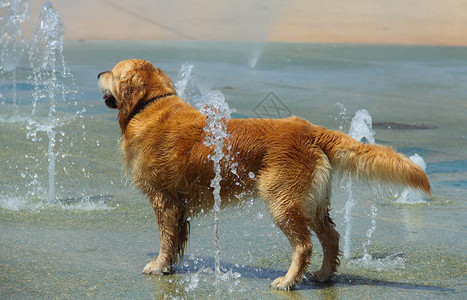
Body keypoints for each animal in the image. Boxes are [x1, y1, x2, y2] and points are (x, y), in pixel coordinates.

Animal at [98, 59, 432, 290]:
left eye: (112, 73)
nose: (98, 73)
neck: (148, 106)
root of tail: (310, 129)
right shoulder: (178, 205)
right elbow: (177, 238)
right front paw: (169, 266)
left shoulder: (163, 198)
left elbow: (166, 239)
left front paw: (158, 265)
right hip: (313, 202)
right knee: (331, 237)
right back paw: (324, 275)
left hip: (282, 200)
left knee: (304, 245)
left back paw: (288, 281)